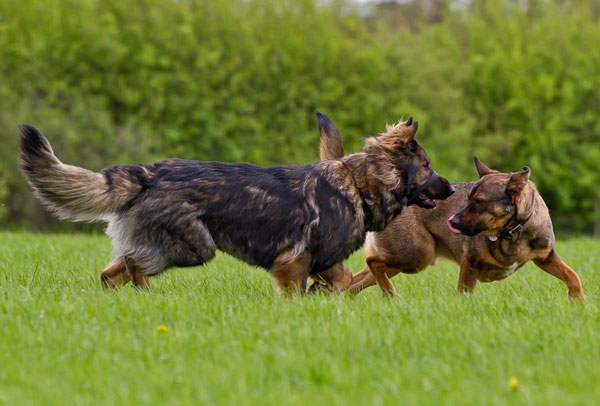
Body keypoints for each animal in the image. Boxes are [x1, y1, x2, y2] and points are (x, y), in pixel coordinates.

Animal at [18, 118, 452, 294]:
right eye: (428, 166)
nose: (450, 188)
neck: (360, 184)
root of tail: (150, 172)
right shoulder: (293, 261)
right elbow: (308, 286)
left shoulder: (324, 259)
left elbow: (344, 282)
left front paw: (325, 297)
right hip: (193, 246)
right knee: (133, 264)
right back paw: (146, 293)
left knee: (111, 272)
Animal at [316, 114, 584, 298]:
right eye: (469, 198)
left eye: (479, 202)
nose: (452, 221)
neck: (511, 232)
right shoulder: (470, 262)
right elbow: (465, 292)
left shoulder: (547, 257)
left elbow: (572, 275)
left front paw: (577, 301)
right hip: (416, 254)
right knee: (372, 264)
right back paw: (388, 294)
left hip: (404, 258)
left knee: (354, 281)